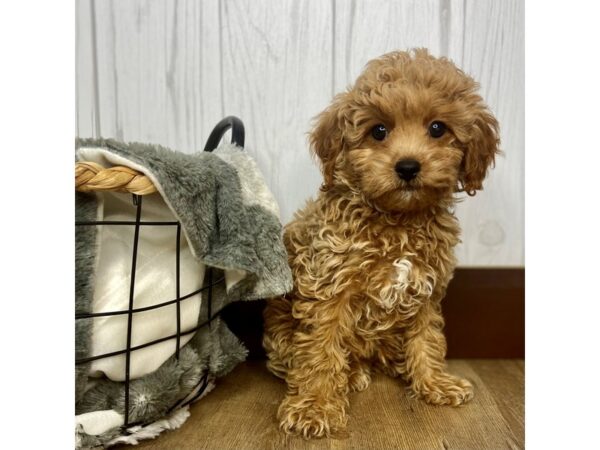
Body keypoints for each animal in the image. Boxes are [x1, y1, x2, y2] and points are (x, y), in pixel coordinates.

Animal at [262, 50, 496, 440]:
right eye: (379, 131)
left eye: (437, 128)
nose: (407, 167)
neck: (397, 219)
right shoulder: (330, 287)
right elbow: (321, 349)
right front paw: (315, 406)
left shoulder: (426, 289)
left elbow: (427, 339)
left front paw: (434, 382)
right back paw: (352, 375)